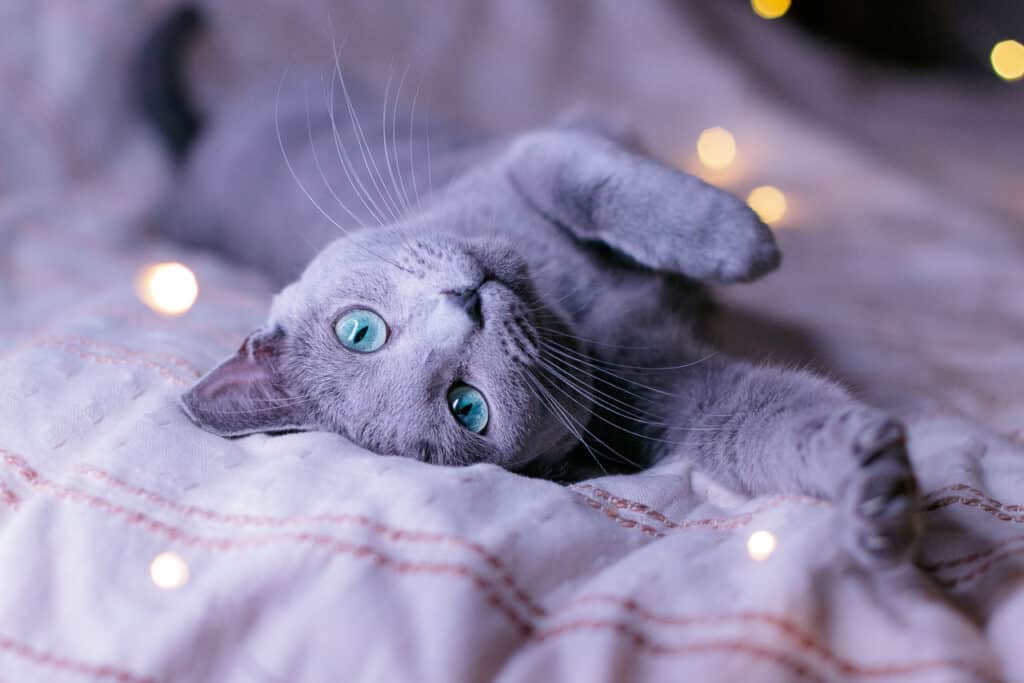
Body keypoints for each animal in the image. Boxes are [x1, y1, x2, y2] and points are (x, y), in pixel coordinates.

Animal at [138, 6, 921, 573]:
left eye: (359, 330)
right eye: (467, 407)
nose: (467, 306)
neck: (575, 306)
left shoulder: (536, 150)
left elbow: (590, 182)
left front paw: (739, 240)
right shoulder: (673, 396)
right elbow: (764, 418)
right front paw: (871, 490)